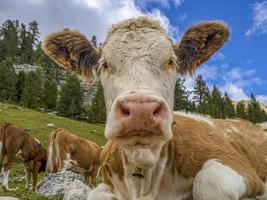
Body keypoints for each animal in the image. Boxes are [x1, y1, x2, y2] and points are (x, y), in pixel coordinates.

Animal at [42, 16, 267, 199]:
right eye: (104, 64)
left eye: (171, 61)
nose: (140, 110)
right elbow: (95, 195)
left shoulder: (240, 168)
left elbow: (209, 182)